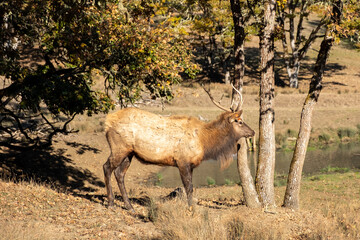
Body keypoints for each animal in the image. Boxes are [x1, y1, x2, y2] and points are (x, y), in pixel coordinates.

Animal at [101, 87, 255, 211]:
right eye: (240, 121)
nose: (253, 132)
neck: (205, 142)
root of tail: (107, 123)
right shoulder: (182, 161)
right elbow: (189, 187)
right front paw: (191, 208)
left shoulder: (191, 165)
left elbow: (191, 187)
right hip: (119, 148)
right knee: (106, 167)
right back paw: (111, 204)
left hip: (129, 153)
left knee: (119, 173)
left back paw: (129, 206)